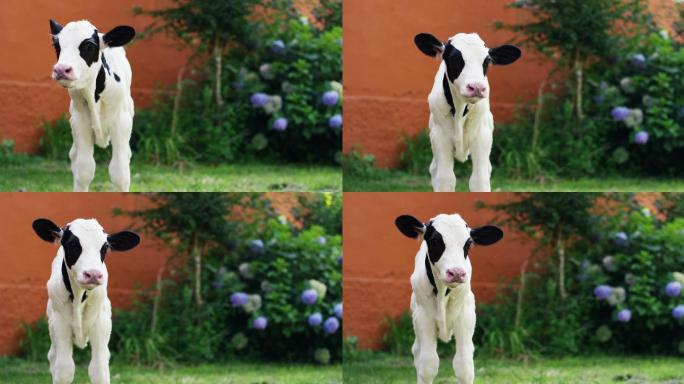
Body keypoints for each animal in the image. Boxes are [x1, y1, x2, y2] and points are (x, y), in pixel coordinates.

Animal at [32, 218, 140, 382]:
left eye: (105, 247)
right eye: (72, 244)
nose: (93, 274)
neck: (78, 297)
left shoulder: (101, 322)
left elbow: (99, 370)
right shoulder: (59, 322)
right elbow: (64, 370)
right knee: (53, 358)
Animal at [49, 20, 136, 191]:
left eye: (89, 46)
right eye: (56, 45)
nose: (61, 69)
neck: (93, 95)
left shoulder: (121, 122)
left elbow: (120, 174)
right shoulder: (79, 121)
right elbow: (84, 170)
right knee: (74, 157)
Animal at [396, 213, 502, 384]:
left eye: (468, 243)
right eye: (434, 240)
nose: (457, 272)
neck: (442, 292)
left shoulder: (465, 316)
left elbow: (464, 366)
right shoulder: (423, 317)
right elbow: (428, 365)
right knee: (417, 353)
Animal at [414, 33, 520, 192]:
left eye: (487, 61)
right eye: (453, 58)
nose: (476, 87)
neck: (459, 111)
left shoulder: (482, 136)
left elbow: (479, 180)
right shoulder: (439, 136)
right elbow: (445, 180)